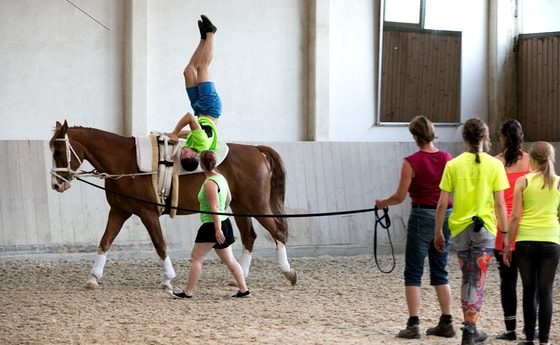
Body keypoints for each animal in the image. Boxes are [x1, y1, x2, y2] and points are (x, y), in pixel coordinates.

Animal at [50, 121, 298, 288]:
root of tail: (255, 150)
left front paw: (168, 279)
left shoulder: (147, 213)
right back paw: (241, 277)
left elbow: (159, 244)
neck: (124, 162)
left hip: (256, 205)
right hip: (240, 207)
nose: (56, 184)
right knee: (249, 237)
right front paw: (93, 278)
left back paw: (288, 272)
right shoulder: (119, 211)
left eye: (59, 150)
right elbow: (105, 242)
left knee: (277, 230)